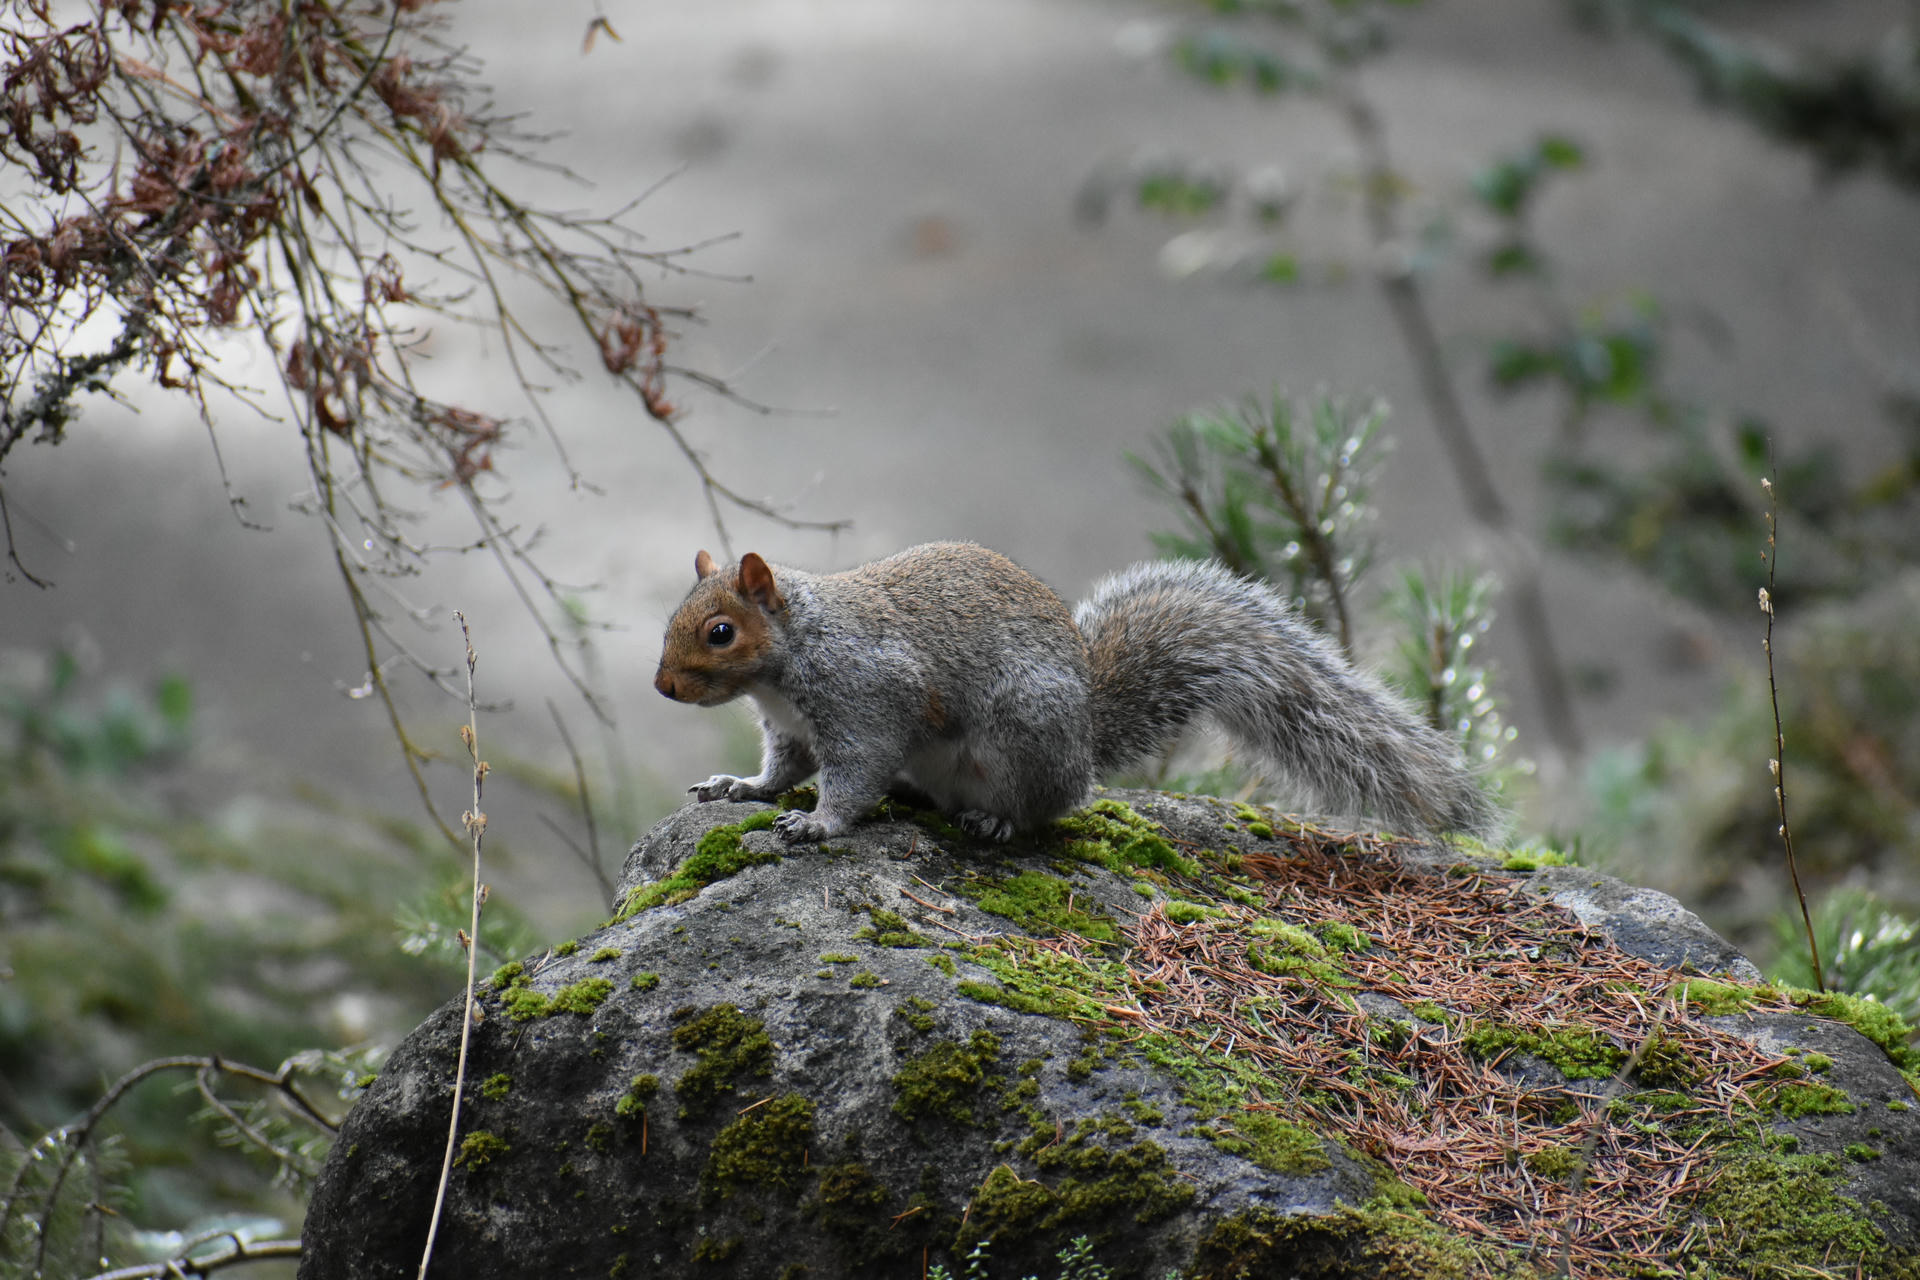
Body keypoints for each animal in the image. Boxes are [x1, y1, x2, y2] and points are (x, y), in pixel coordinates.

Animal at [654, 541, 1501, 845]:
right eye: (674, 616)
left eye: (721, 631)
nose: (662, 687)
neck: (794, 657)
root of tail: (1086, 739)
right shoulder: (791, 729)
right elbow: (782, 772)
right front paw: (741, 787)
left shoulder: (866, 701)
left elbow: (853, 775)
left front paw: (819, 825)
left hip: (1020, 741)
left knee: (1048, 807)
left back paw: (996, 821)